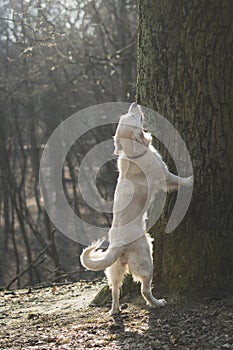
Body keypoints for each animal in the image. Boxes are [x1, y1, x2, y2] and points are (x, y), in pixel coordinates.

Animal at [81, 102, 194, 316]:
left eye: (128, 115)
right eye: (133, 117)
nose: (134, 103)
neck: (134, 152)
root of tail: (118, 246)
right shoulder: (165, 176)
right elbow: (177, 180)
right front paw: (191, 180)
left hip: (115, 271)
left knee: (115, 290)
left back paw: (115, 310)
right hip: (146, 259)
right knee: (144, 289)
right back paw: (157, 303)